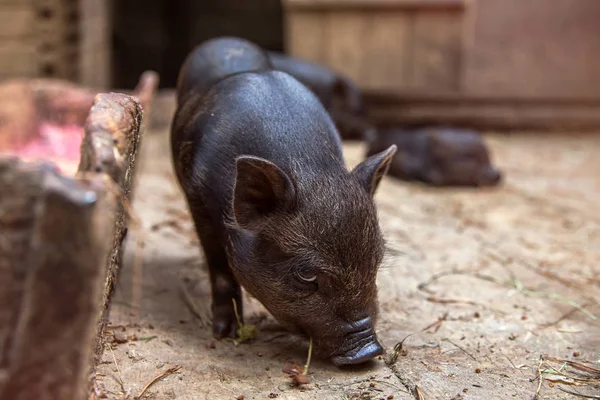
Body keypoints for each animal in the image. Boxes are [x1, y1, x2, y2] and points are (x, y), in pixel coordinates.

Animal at [171, 37, 396, 366]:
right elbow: (220, 268)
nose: (368, 351)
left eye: (376, 261)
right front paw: (225, 333)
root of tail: (224, 40)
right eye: (306, 274)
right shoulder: (198, 201)